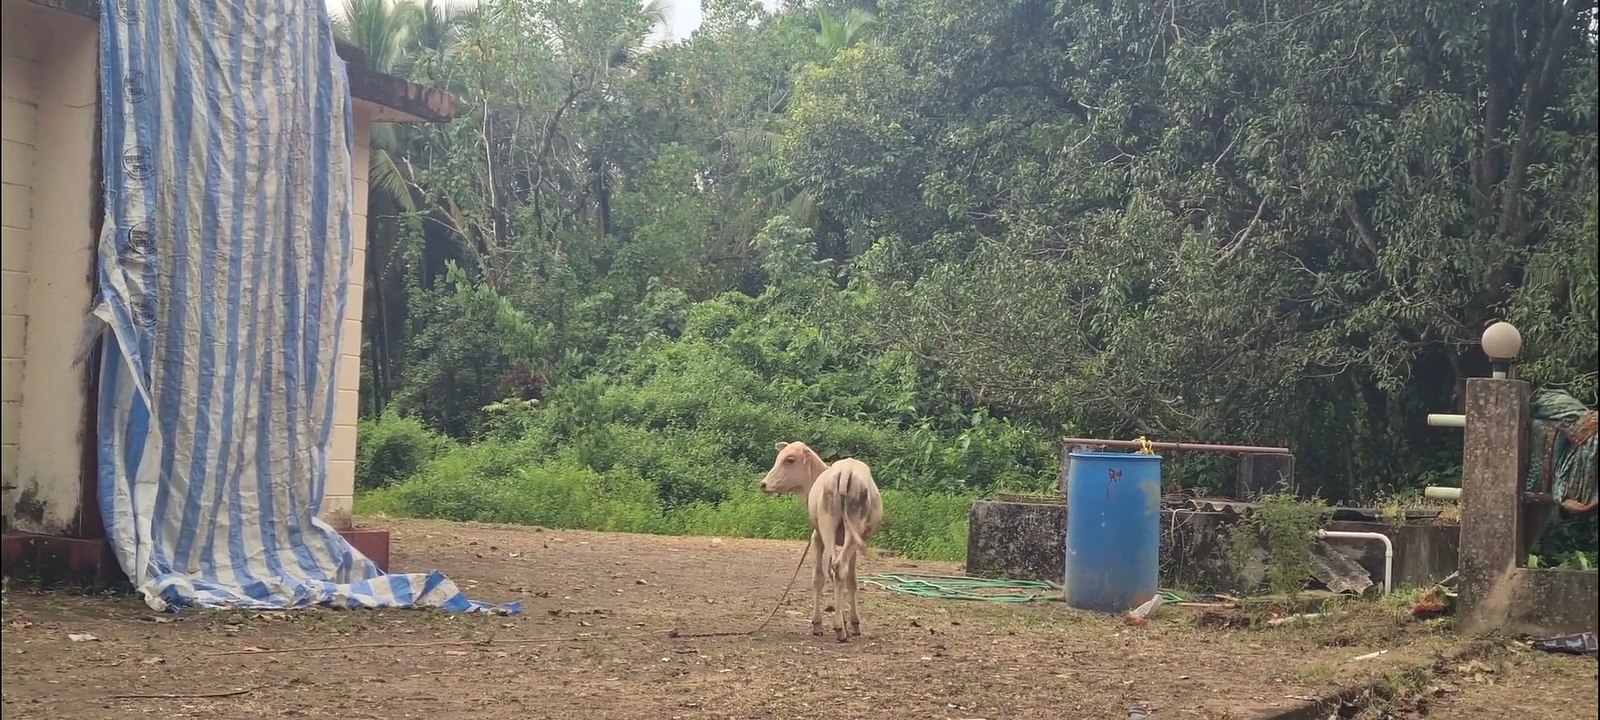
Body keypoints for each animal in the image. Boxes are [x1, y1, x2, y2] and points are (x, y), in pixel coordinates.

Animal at [760, 441, 884, 642]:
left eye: (789, 460)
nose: (763, 484)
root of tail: (846, 471)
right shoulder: (822, 537)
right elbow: (844, 579)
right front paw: (849, 624)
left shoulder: (820, 537)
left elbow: (828, 577)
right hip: (841, 528)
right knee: (838, 569)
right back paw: (839, 628)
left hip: (833, 529)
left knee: (836, 569)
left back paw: (839, 626)